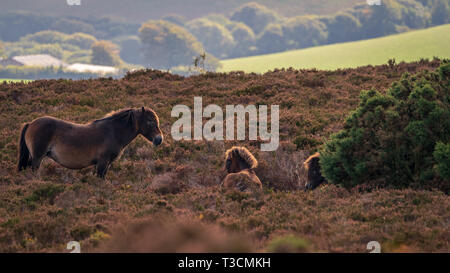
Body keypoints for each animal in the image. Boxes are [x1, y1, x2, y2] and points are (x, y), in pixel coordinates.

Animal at [17, 106, 163, 178]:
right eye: (150, 121)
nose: (159, 139)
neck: (113, 132)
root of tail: (30, 124)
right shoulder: (103, 162)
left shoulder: (105, 164)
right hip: (37, 157)